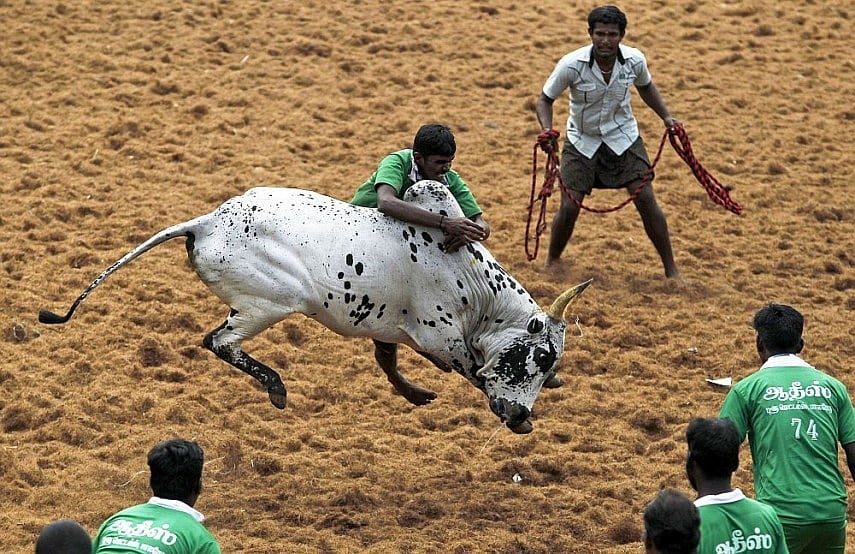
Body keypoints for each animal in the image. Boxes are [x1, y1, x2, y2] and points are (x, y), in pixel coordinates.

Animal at [39, 180, 591, 434]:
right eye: (540, 356)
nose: (518, 413)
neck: (473, 282)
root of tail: (207, 222)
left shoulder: (393, 328)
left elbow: (391, 359)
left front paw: (414, 393)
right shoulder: (440, 336)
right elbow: (472, 369)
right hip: (270, 303)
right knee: (217, 341)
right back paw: (277, 388)